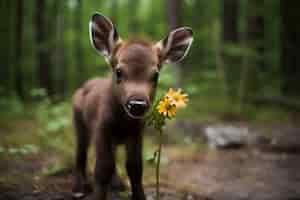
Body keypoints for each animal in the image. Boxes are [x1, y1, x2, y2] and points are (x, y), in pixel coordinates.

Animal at [71, 12, 193, 200]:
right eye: (119, 71)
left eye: (156, 75)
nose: (137, 104)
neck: (122, 122)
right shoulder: (101, 128)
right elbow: (102, 167)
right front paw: (98, 195)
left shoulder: (136, 133)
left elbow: (134, 167)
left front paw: (139, 196)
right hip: (80, 124)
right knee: (80, 154)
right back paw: (79, 187)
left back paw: (117, 184)